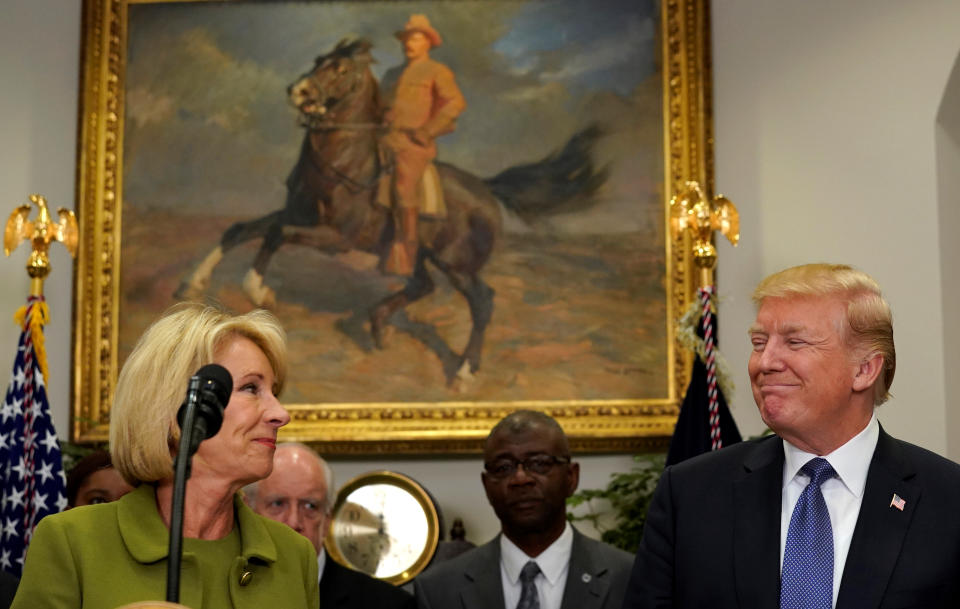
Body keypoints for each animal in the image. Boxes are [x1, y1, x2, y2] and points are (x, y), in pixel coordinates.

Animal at [176, 39, 604, 380]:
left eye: (341, 69)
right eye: (318, 59)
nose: (297, 90)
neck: (345, 163)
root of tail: (486, 188)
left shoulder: (334, 237)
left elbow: (276, 235)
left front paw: (259, 290)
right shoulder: (298, 215)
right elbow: (243, 230)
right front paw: (193, 284)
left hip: (457, 264)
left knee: (482, 301)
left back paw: (464, 369)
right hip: (416, 252)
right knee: (422, 285)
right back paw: (379, 323)